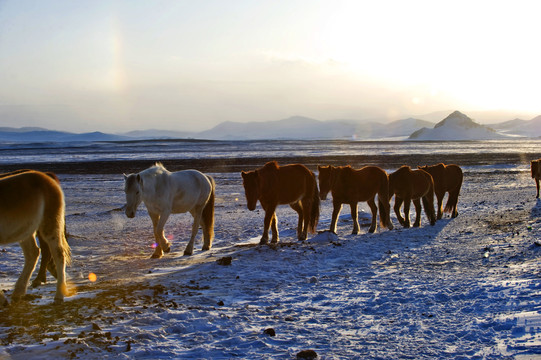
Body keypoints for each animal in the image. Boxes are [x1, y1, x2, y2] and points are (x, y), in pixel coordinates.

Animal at [0, 169, 70, 304]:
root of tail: (47, 177)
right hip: (26, 230)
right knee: (33, 253)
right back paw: (18, 292)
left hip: (50, 224)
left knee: (58, 254)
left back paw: (58, 296)